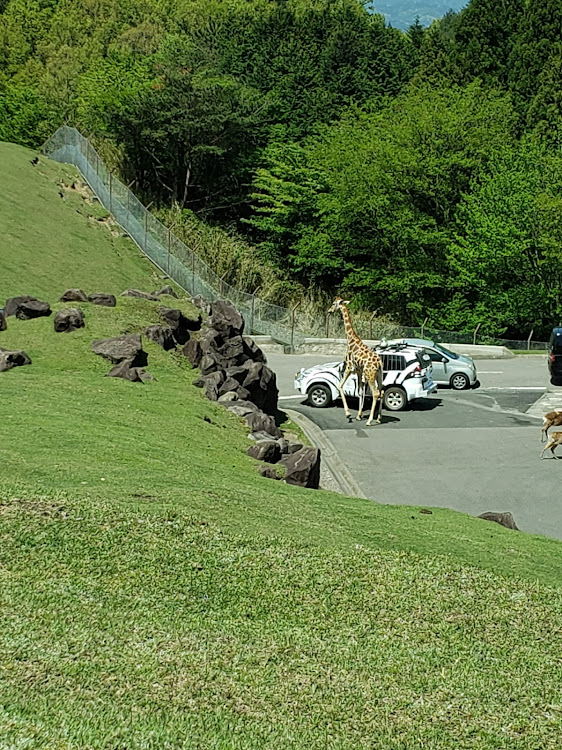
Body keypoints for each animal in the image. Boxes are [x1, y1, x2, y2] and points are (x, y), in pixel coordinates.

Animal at [326, 300, 382, 428]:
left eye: (334, 303)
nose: (329, 311)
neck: (351, 340)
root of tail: (379, 363)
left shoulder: (349, 367)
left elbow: (340, 385)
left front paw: (348, 414)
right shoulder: (359, 371)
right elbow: (360, 392)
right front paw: (358, 415)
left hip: (370, 375)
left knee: (376, 393)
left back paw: (369, 421)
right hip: (378, 375)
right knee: (381, 392)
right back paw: (378, 418)